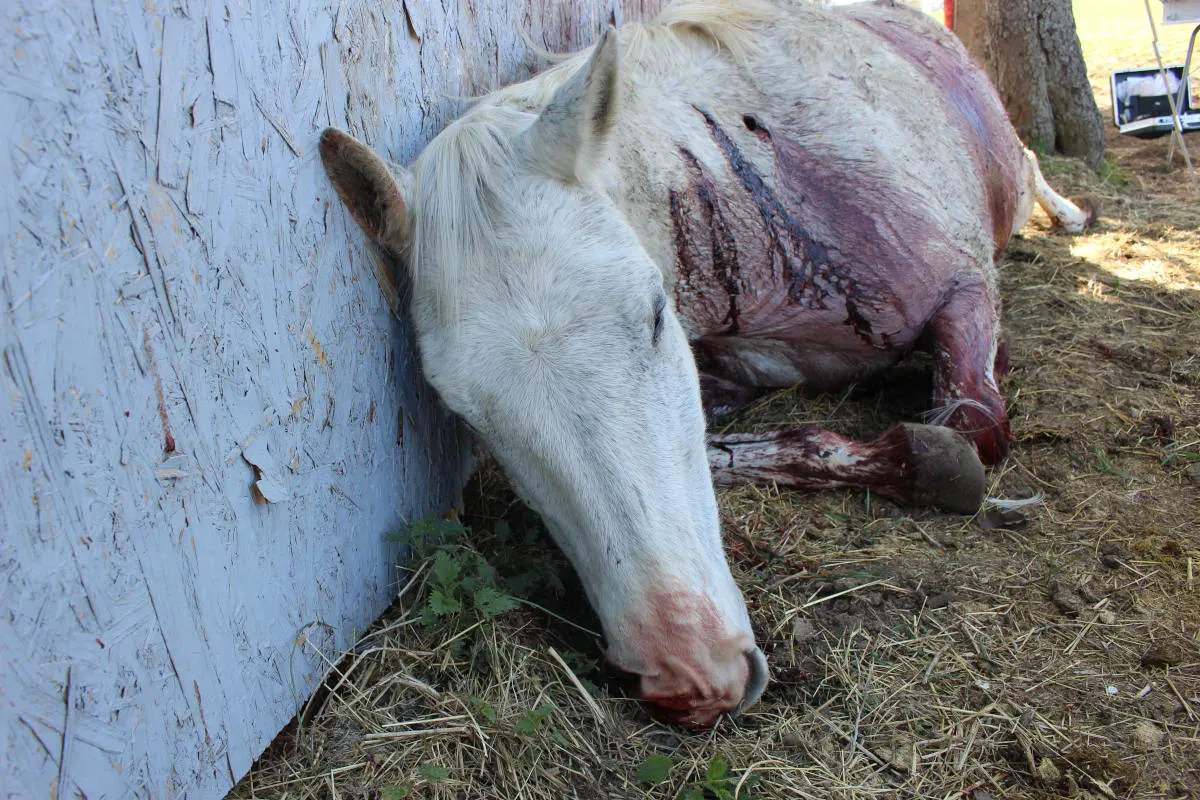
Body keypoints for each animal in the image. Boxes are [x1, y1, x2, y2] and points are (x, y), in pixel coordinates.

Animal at [319, 0, 1095, 727]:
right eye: (465, 411)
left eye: (656, 316)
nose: (690, 676)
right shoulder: (730, 378)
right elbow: (735, 447)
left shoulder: (966, 290)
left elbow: (972, 427)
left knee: (1031, 171)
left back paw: (1071, 215)